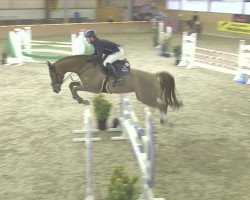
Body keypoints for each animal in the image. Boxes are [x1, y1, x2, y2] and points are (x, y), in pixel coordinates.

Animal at [47, 54, 184, 123]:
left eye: (52, 74)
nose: (55, 89)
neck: (85, 67)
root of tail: (155, 76)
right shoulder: (84, 83)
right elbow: (72, 85)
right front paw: (79, 99)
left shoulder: (92, 87)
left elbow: (75, 89)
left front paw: (82, 100)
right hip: (147, 97)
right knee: (163, 104)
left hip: (146, 98)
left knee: (163, 105)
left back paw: (164, 120)